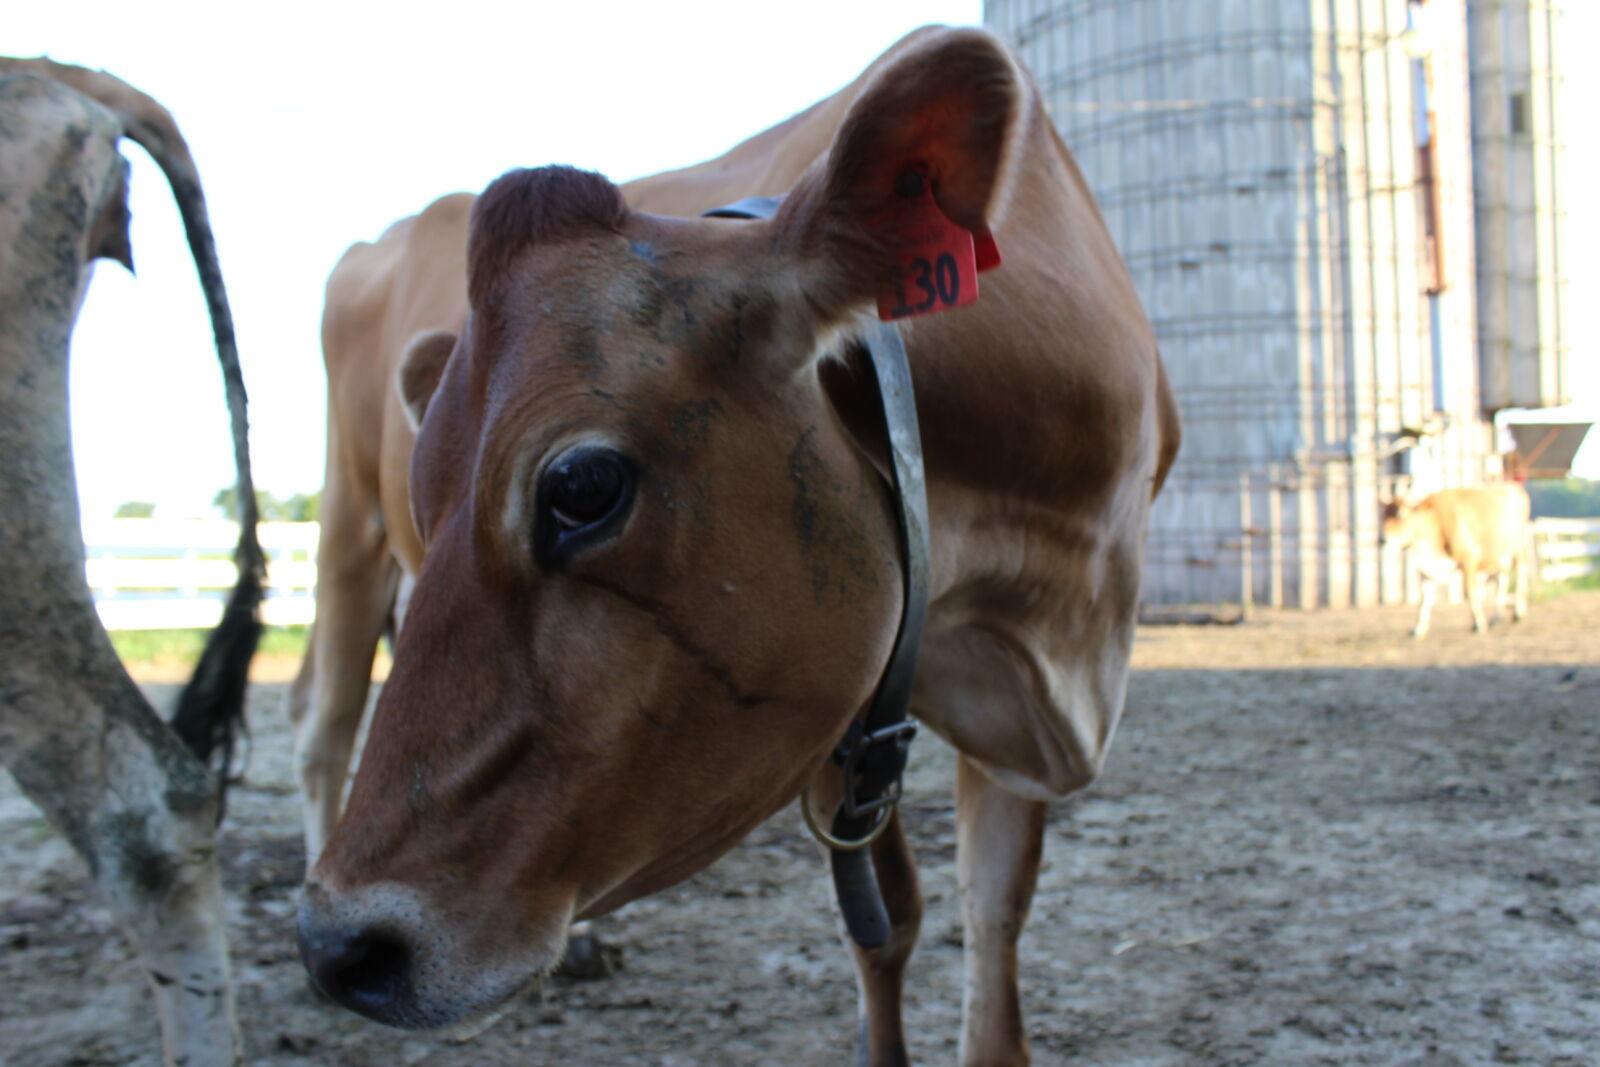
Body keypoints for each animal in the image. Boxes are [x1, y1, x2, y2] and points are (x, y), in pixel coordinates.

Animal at [298, 27, 1180, 1066]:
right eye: (427, 496)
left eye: (582, 486)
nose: (339, 947)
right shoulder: (849, 709)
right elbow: (888, 926)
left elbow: (993, 921)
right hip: (346, 527)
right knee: (321, 723)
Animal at [1381, 484, 1531, 638]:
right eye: (1383, 516)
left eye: (1400, 515)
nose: (1382, 539)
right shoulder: (1426, 570)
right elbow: (1425, 600)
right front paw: (1419, 629)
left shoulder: (1469, 559)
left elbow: (1471, 593)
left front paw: (1479, 625)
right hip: (1500, 555)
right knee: (1502, 579)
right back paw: (1496, 617)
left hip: (1518, 547)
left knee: (1521, 572)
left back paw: (1518, 613)